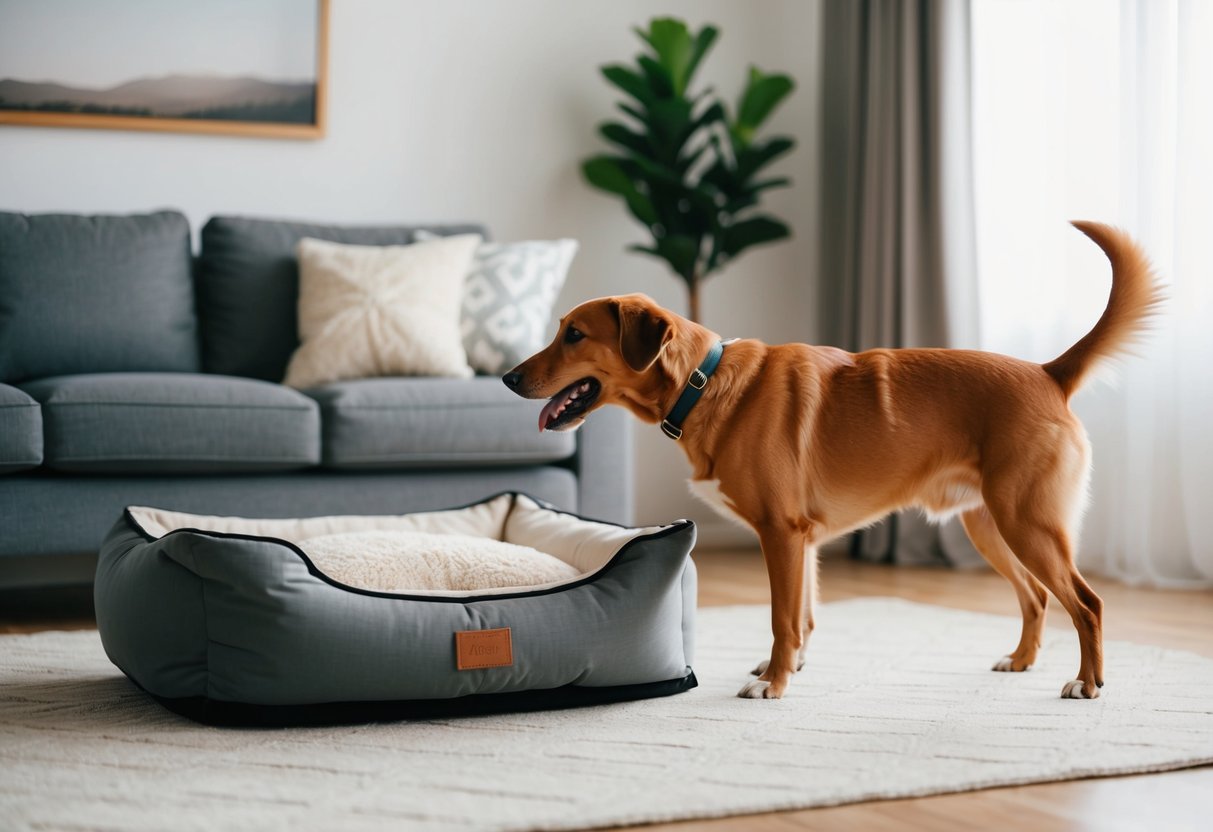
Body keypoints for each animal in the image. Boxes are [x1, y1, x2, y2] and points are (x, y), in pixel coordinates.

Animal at [499, 223, 1154, 703]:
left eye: (574, 334)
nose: (507, 378)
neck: (703, 384)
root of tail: (1048, 373)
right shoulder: (804, 541)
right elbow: (805, 618)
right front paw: (788, 669)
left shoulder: (782, 534)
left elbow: (783, 619)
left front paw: (774, 684)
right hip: (990, 524)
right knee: (1038, 597)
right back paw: (1021, 660)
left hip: (1027, 522)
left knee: (1087, 604)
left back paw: (1089, 683)